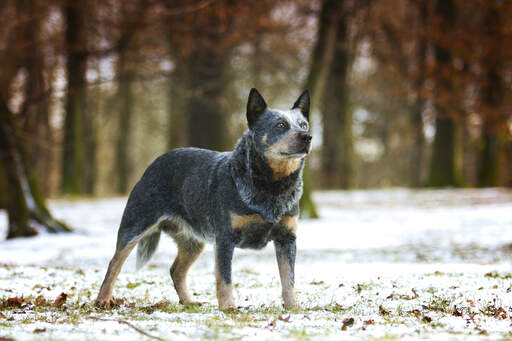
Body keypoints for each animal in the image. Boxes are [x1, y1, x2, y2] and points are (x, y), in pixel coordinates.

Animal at [95, 88, 312, 310]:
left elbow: (288, 279)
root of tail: (156, 162)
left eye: (303, 124)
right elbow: (225, 278)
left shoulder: (287, 238)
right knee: (114, 263)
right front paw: (228, 308)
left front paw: (293, 306)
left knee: (176, 270)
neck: (272, 187)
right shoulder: (225, 238)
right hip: (135, 225)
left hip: (193, 242)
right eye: (280, 125)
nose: (308, 136)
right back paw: (103, 299)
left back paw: (189, 301)